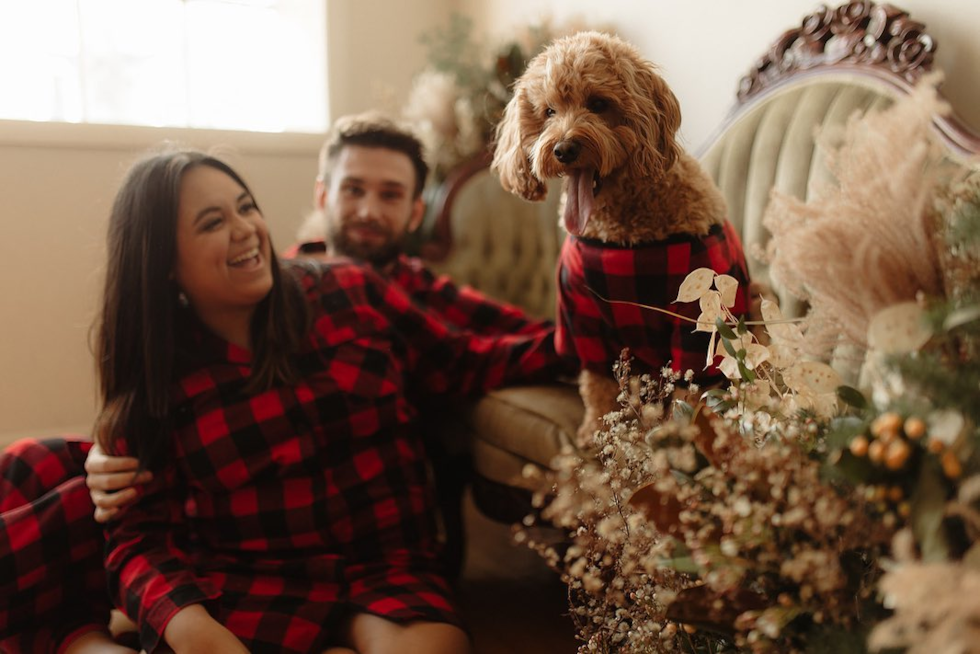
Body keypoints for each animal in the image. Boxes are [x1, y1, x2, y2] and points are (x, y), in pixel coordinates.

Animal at [494, 33, 756, 448]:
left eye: (598, 104)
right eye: (549, 111)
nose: (563, 149)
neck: (620, 235)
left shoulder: (697, 318)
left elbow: (691, 388)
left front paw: (679, 435)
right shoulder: (581, 315)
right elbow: (597, 383)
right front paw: (595, 432)